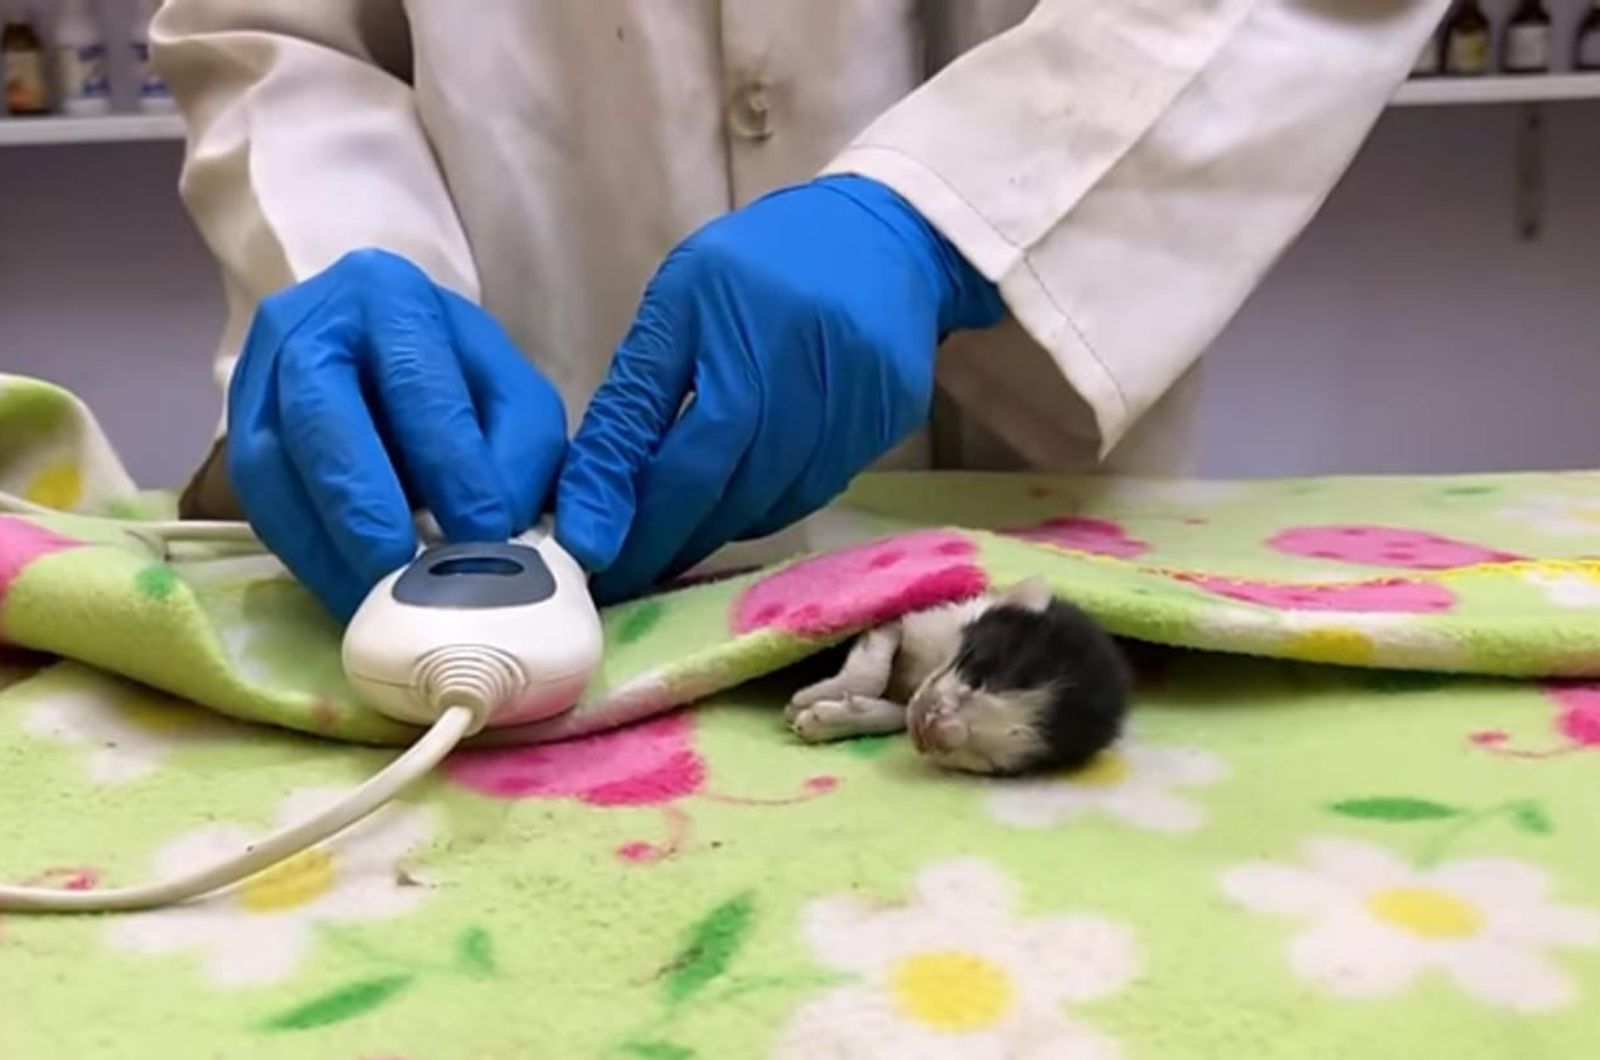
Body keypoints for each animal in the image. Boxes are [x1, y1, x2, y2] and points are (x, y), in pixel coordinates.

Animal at [784, 582, 1132, 781]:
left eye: (992, 763)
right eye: (981, 673)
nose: (934, 732)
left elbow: (900, 712)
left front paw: (828, 718)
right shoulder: (918, 617)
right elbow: (874, 667)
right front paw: (809, 698)